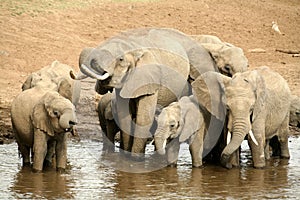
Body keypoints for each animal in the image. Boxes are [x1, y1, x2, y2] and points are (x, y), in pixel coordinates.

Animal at [71, 27, 219, 159]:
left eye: (120, 59)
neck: (133, 48)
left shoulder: (148, 79)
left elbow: (143, 117)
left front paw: (136, 159)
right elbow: (124, 117)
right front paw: (126, 156)